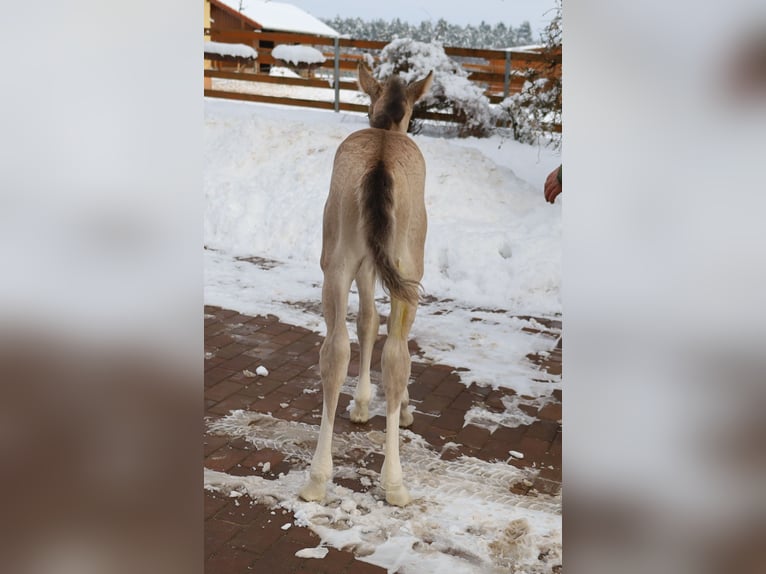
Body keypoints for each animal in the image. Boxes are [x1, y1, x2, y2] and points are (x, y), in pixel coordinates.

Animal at [299, 63, 433, 507]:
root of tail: (379, 163)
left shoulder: (364, 265)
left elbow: (367, 322)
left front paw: (359, 404)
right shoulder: (388, 270)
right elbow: (377, 325)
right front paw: (386, 407)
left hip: (336, 265)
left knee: (335, 350)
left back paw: (317, 478)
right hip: (407, 267)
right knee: (396, 356)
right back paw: (394, 482)